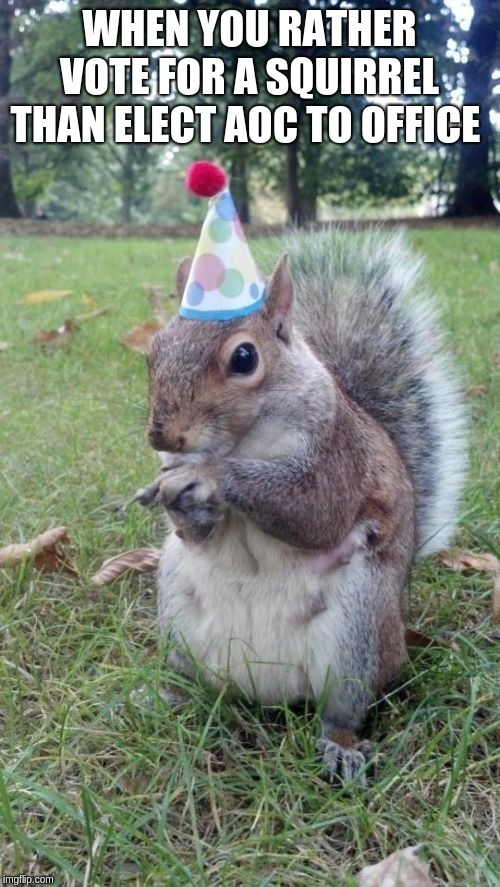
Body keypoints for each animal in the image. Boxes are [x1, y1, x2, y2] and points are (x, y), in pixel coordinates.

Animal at [145, 227, 466, 784]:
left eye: (245, 358)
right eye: (152, 350)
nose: (161, 434)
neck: (243, 441)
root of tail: (264, 687)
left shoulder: (338, 457)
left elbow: (315, 511)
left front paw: (207, 477)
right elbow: (196, 532)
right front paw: (172, 495)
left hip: (359, 630)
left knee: (343, 710)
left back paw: (340, 747)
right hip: (178, 614)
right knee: (197, 685)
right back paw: (168, 698)